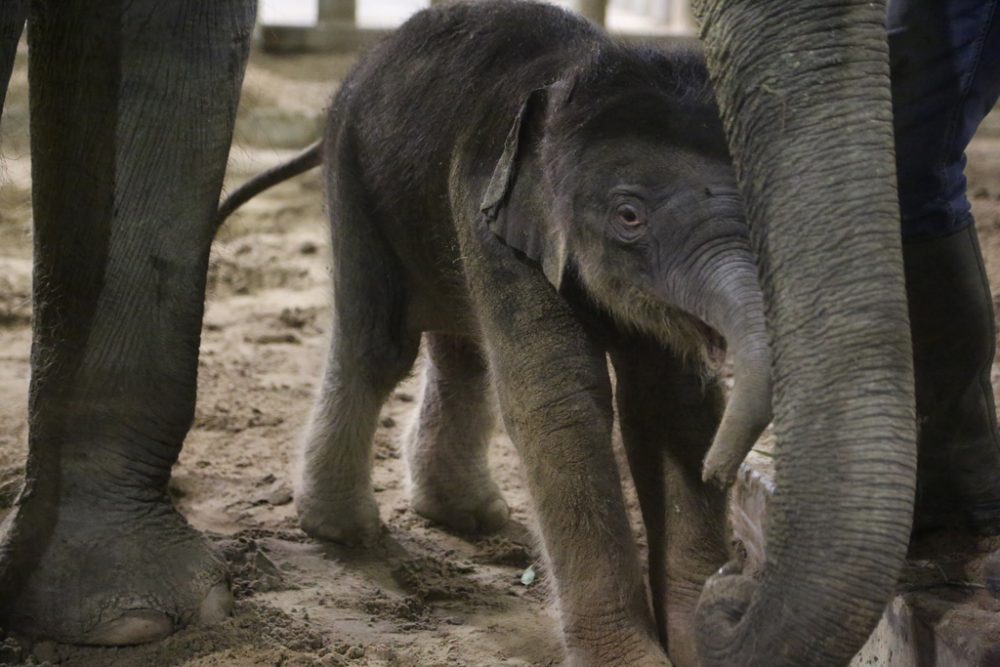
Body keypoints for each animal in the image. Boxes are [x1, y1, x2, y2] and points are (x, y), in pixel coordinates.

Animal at [225, 1, 772, 667]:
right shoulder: (491, 215)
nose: (725, 474)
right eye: (629, 216)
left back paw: (467, 515)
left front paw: (694, 641)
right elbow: (559, 404)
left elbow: (673, 405)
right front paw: (633, 660)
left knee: (461, 353)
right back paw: (344, 531)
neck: (574, 82)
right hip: (354, 177)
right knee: (376, 345)